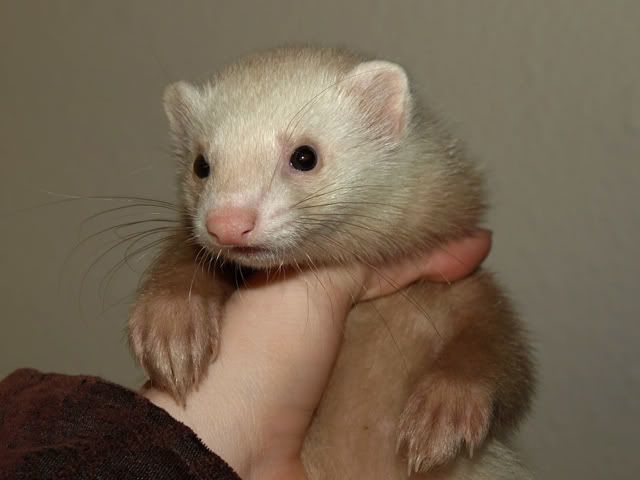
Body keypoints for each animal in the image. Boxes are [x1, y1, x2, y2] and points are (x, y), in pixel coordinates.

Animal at [128, 47, 535, 479]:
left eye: (305, 155)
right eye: (201, 164)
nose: (228, 223)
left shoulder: (464, 282)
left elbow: (498, 349)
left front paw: (445, 410)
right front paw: (172, 322)